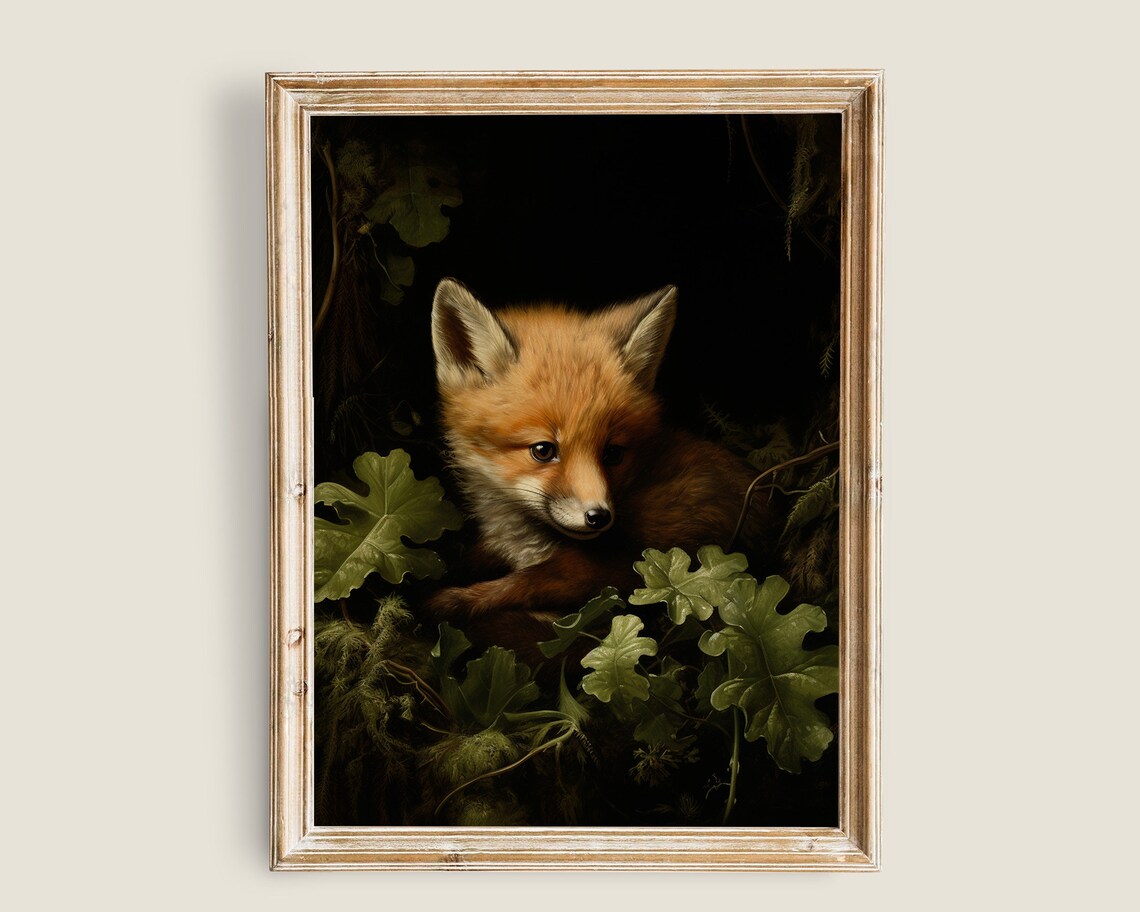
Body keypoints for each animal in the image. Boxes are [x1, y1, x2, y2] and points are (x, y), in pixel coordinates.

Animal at [424, 278, 769, 655]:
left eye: (613, 453)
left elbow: (523, 586)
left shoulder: (633, 565)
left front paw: (457, 601)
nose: (599, 517)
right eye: (543, 450)